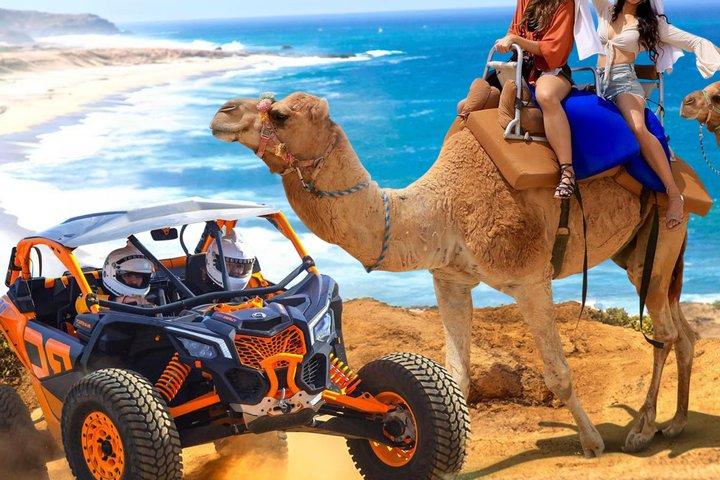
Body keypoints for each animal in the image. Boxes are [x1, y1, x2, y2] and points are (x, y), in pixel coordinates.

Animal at [210, 92, 695, 458]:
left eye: (279, 113)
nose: (223, 112)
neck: (441, 210)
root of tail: (678, 164)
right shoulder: (450, 279)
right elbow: (457, 375)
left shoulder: (529, 278)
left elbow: (557, 372)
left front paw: (593, 443)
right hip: (640, 251)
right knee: (682, 328)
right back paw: (675, 424)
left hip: (666, 229)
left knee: (664, 331)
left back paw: (642, 431)